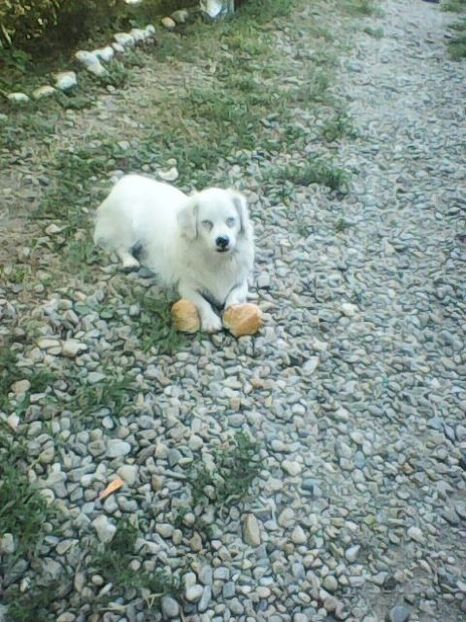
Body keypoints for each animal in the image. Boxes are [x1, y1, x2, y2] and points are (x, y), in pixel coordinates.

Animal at [93, 173, 255, 334]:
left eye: (231, 220)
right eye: (206, 223)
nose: (223, 240)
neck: (216, 259)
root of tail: (126, 180)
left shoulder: (241, 282)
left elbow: (234, 297)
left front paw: (233, 313)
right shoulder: (186, 287)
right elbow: (203, 303)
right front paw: (211, 321)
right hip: (129, 232)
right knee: (121, 247)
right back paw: (130, 263)